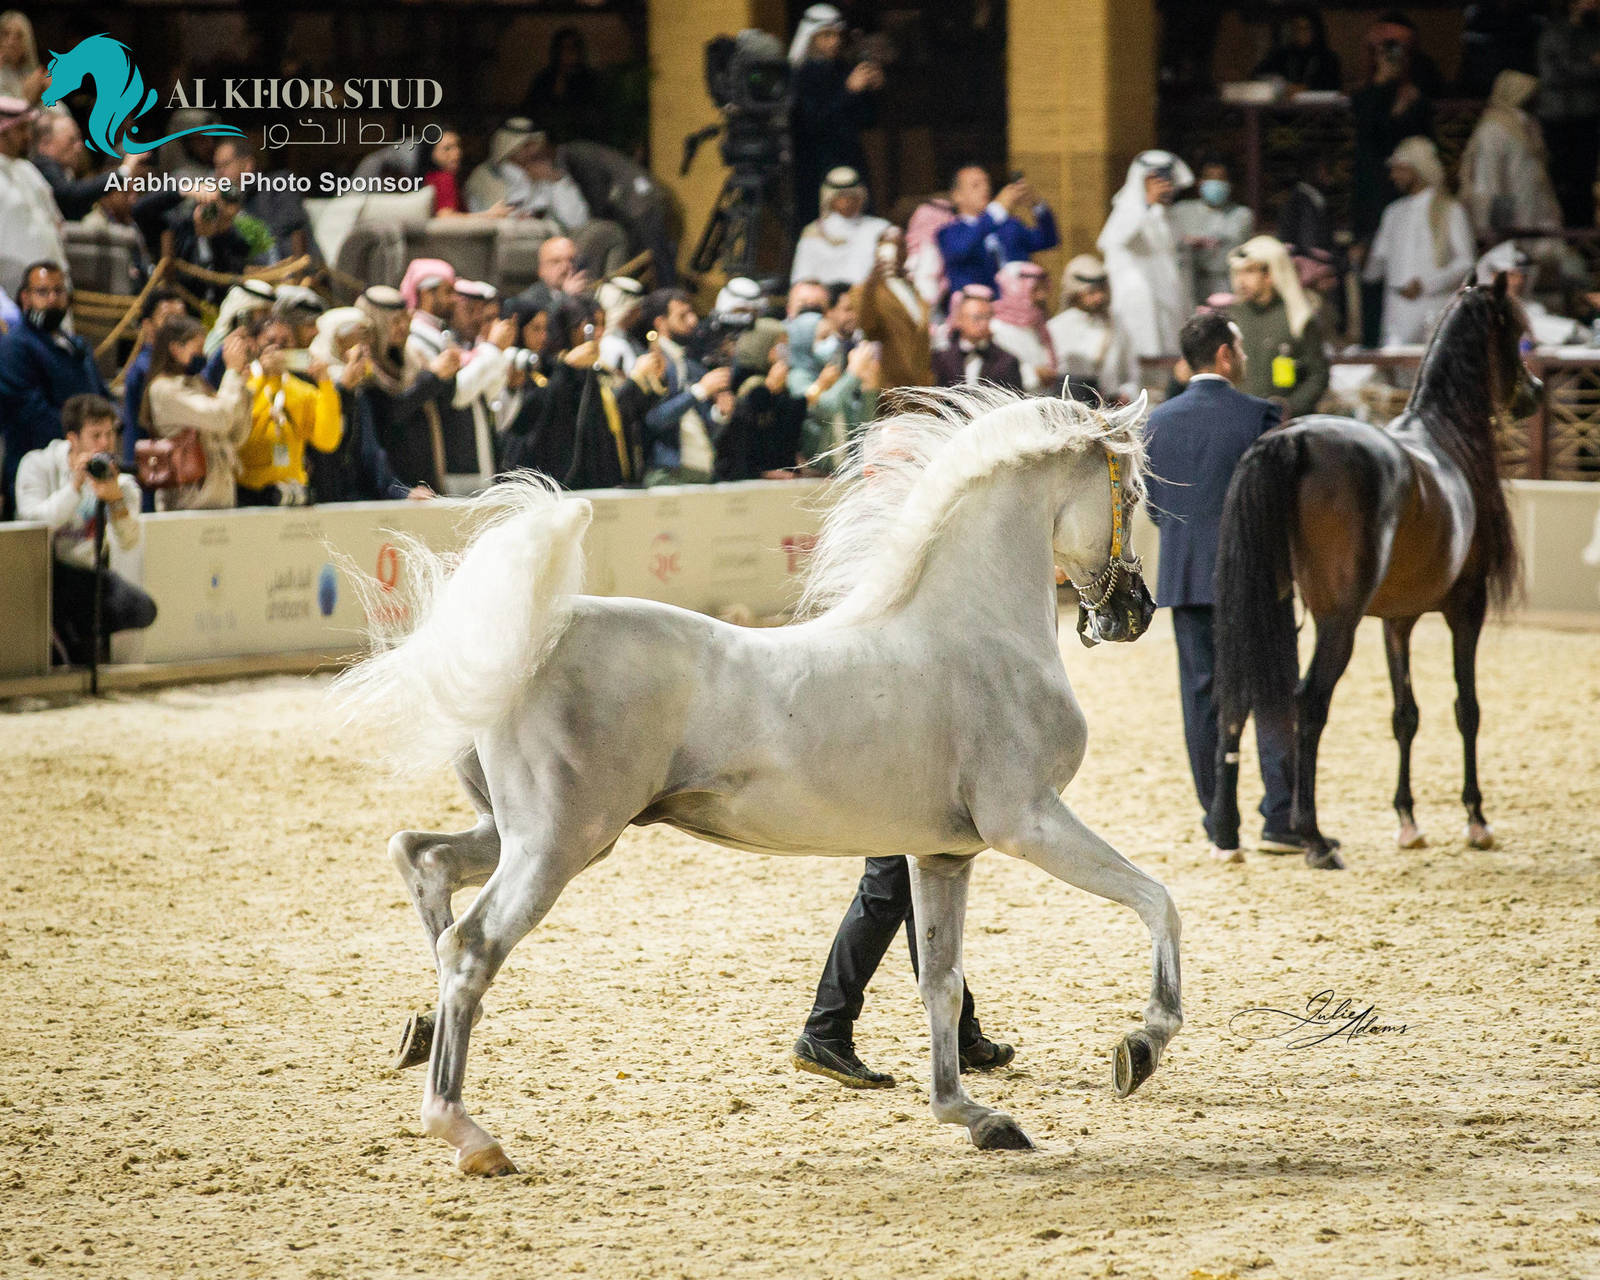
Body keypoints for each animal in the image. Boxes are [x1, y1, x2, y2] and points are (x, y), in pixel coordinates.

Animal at [334, 387, 1179, 1176]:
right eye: (1132, 493)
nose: (1134, 613)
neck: (971, 633)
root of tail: (524, 645)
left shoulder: (942, 854)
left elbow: (941, 981)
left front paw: (975, 1117)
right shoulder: (1027, 821)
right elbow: (1156, 900)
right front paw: (1141, 1044)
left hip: (534, 835)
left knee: (422, 859)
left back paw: (421, 1035)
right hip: (556, 845)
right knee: (471, 945)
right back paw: (468, 1134)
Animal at [1208, 276, 1539, 869]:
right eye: (1515, 334)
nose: (1537, 391)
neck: (1442, 436)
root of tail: (1292, 439)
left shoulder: (1396, 620)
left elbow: (1404, 714)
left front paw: (1408, 822)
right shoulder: (1466, 607)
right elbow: (1467, 707)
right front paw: (1476, 821)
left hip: (1261, 608)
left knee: (1236, 700)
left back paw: (1227, 836)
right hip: (1338, 621)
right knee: (1308, 702)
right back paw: (1314, 838)